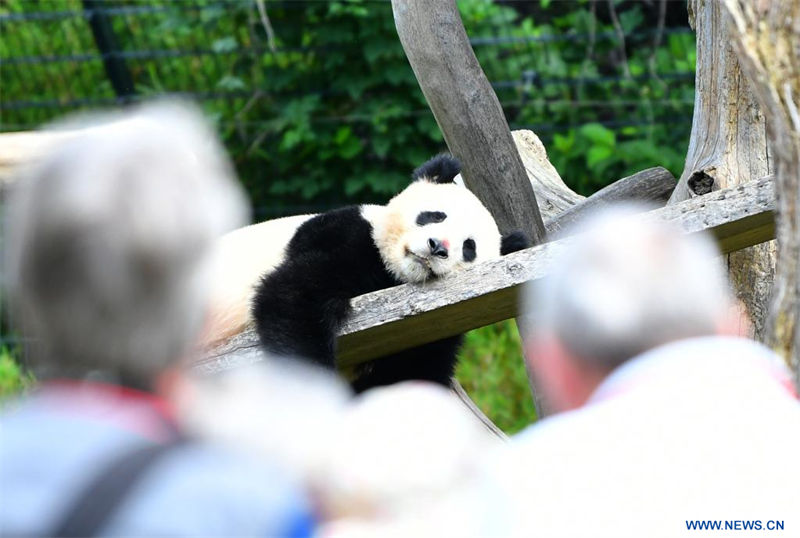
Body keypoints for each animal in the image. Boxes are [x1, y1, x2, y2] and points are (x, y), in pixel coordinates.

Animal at [250, 153, 524, 392]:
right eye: (435, 216)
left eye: (469, 247)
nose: (437, 247)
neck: (393, 275)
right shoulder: (344, 236)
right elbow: (295, 293)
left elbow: (414, 372)